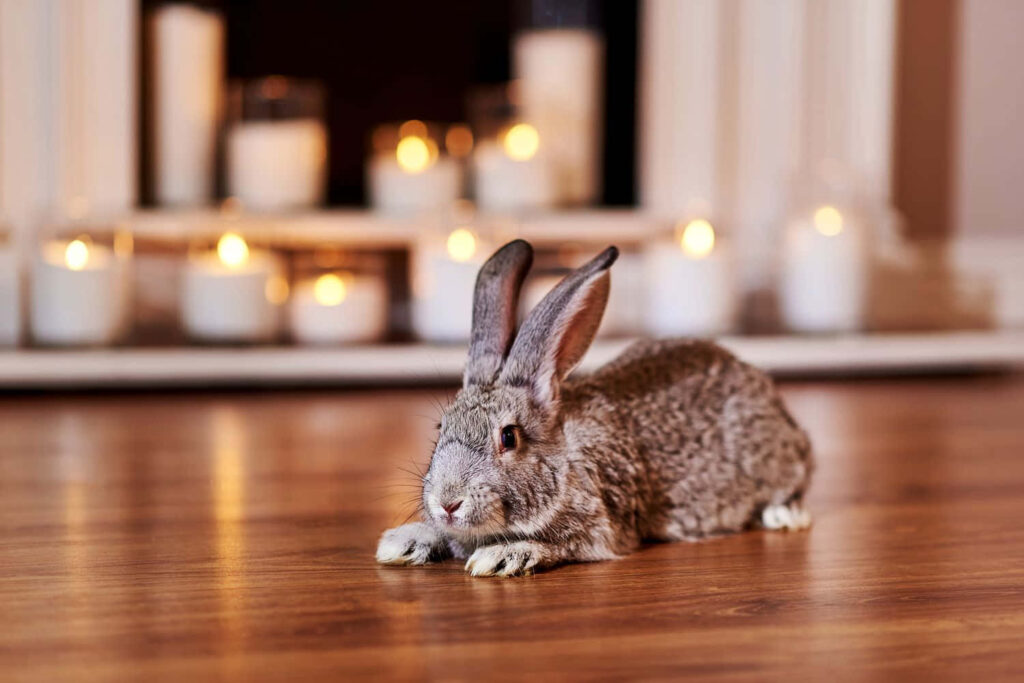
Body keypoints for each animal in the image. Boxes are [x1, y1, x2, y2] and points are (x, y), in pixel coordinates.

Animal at [376, 240, 813, 577]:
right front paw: (401, 542)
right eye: (439, 429)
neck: (564, 461)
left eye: (509, 437)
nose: (448, 503)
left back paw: (784, 516)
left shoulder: (600, 527)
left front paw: (502, 556)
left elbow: (561, 544)